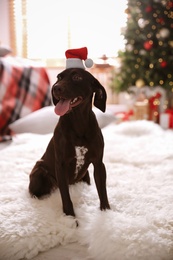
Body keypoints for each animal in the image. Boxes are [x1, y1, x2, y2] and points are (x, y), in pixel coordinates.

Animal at [28, 67, 109, 217]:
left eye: (77, 77)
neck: (78, 123)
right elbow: (66, 197)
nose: (56, 88)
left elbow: (102, 192)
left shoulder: (98, 163)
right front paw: (70, 218)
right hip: (39, 172)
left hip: (86, 176)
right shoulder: (61, 165)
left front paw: (106, 212)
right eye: (58, 77)